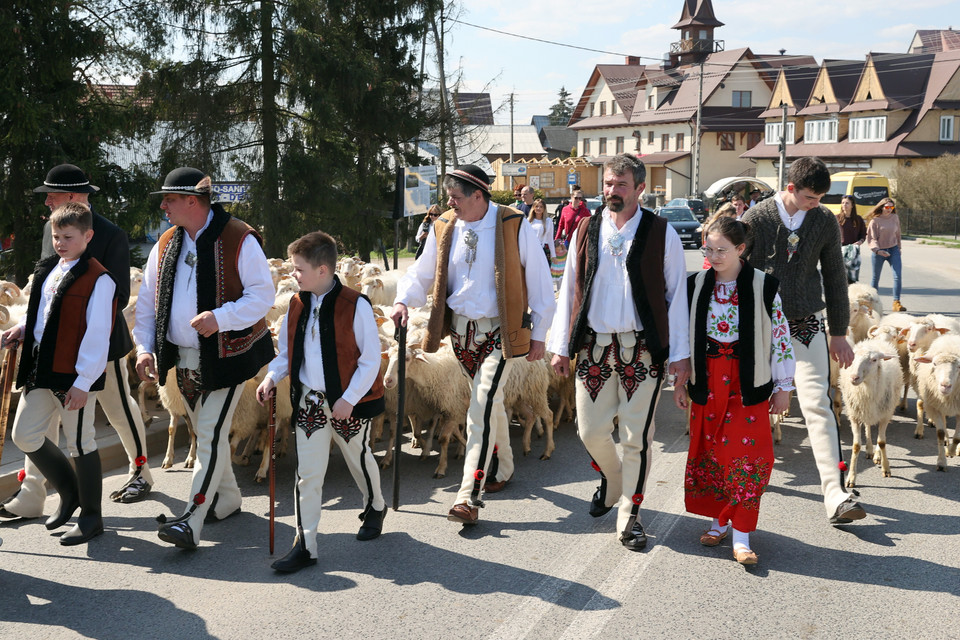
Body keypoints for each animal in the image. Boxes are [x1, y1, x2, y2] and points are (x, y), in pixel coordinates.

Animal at [840, 338, 900, 482]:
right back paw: (869, 449)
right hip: (865, 411)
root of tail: (873, 340)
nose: (854, 377)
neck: (866, 389)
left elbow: (882, 442)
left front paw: (886, 468)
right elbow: (856, 446)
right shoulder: (854, 416)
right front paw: (851, 477)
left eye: (874, 360)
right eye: (852, 358)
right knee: (867, 425)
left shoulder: (885, 415)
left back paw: (877, 455)